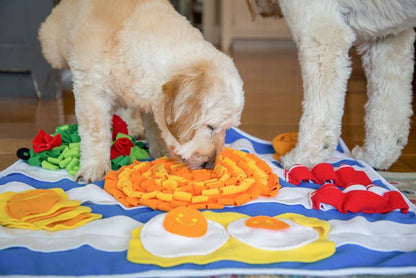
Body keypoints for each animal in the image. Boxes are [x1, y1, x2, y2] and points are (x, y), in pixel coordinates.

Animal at [39, 0, 244, 182]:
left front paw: (159, 148)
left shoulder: (150, 95)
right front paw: (94, 166)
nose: (210, 165)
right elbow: (95, 134)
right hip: (52, 48)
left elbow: (154, 124)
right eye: (210, 127)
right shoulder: (92, 93)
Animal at [250, 0, 416, 169]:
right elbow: (387, 109)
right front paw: (375, 156)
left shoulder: (322, 36)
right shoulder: (387, 39)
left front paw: (302, 159)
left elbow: (319, 113)